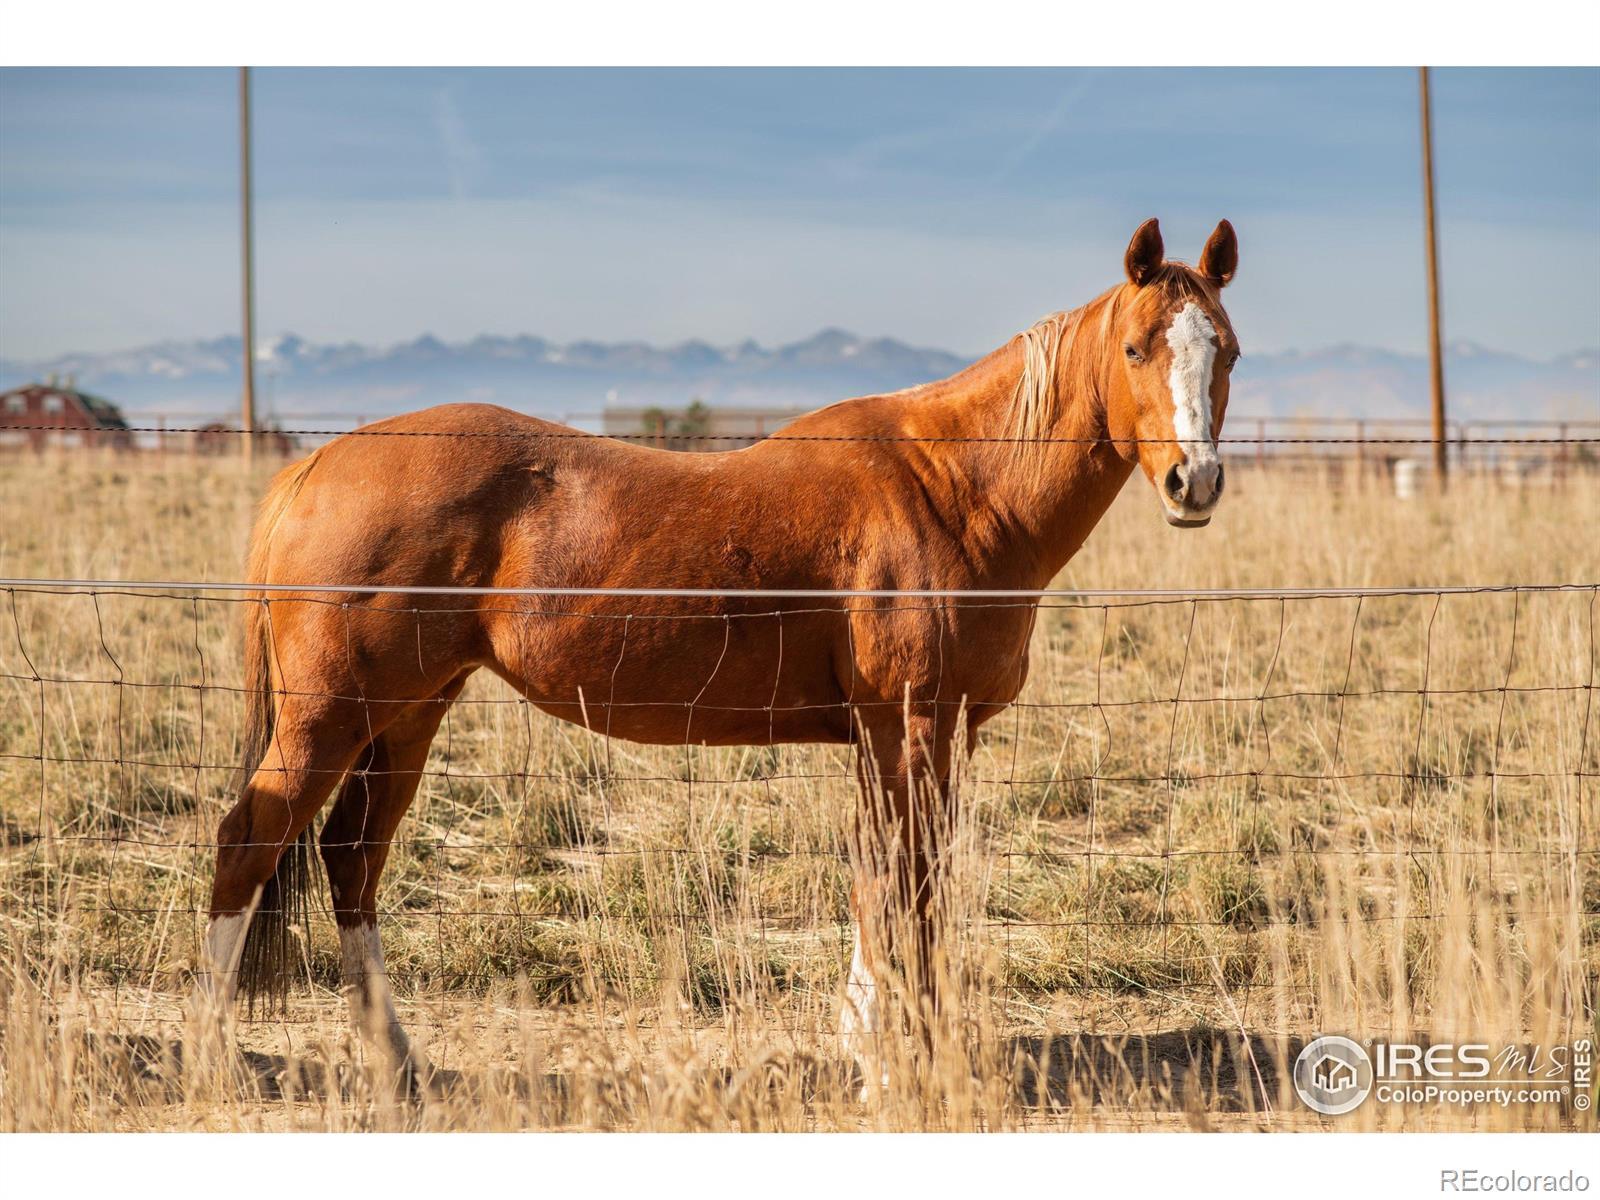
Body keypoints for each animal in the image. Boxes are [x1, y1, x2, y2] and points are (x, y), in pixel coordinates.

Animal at [195, 217, 1241, 1088]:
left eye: (1224, 350)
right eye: (1138, 347)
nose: (1194, 483)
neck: (954, 485)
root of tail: (316, 463)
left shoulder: (917, 737)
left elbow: (893, 880)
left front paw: (875, 1040)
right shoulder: (909, 728)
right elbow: (904, 885)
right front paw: (898, 1056)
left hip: (409, 715)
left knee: (351, 861)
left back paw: (397, 1059)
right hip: (330, 720)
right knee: (250, 842)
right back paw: (214, 1055)